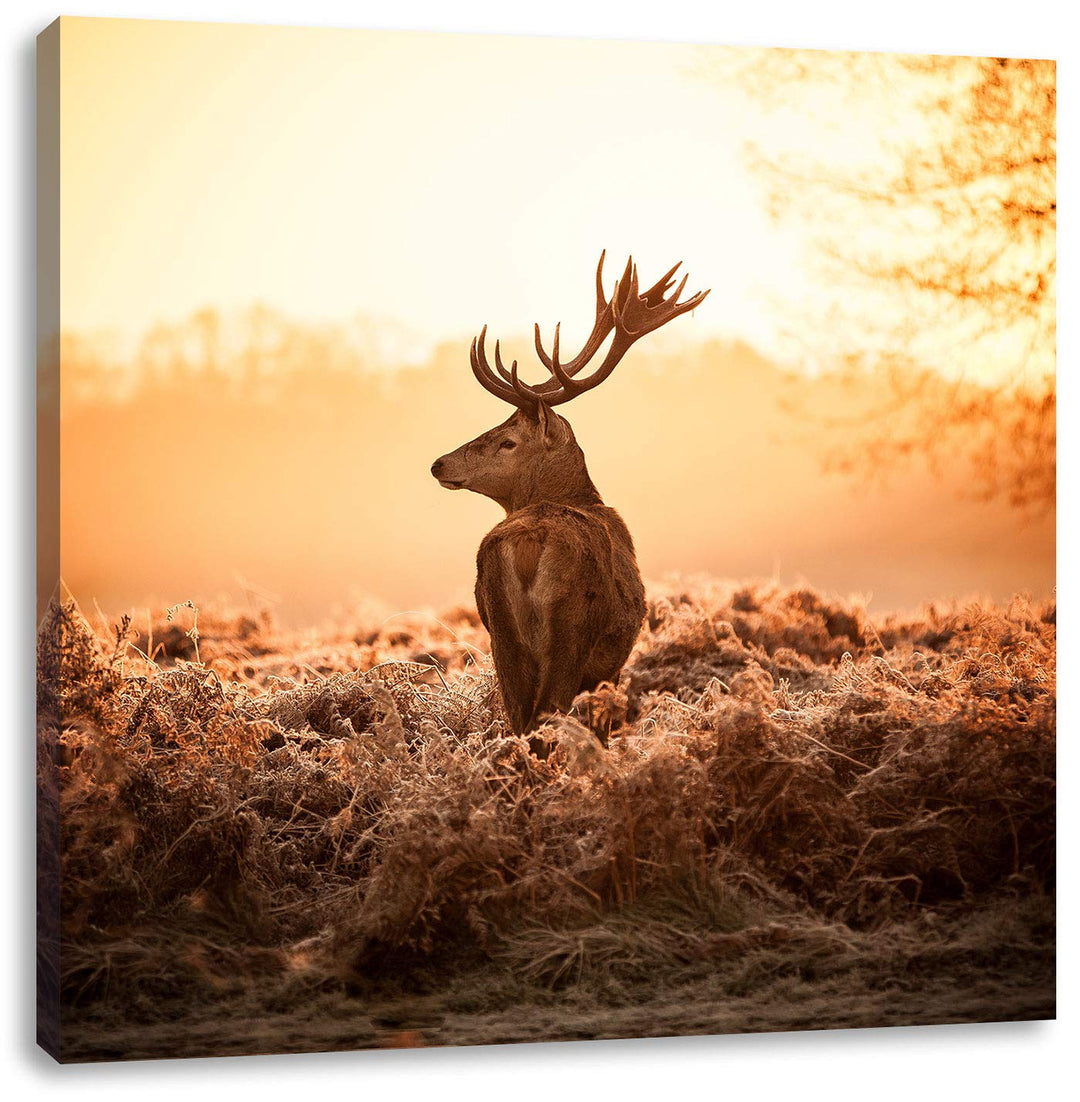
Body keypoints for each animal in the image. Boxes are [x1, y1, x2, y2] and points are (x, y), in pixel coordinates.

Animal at [431, 252, 709, 749]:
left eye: (506, 440)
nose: (439, 464)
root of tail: (527, 543)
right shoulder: (609, 665)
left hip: (501, 634)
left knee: (519, 718)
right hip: (572, 630)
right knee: (546, 716)